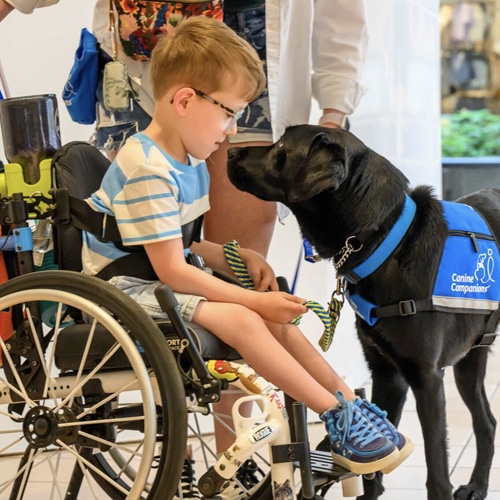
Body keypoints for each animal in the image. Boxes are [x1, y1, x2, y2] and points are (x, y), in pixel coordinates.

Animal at [228, 123, 500, 498]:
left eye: (281, 144)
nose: (228, 151)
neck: (387, 242)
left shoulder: (427, 378)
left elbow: (436, 469)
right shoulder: (387, 375)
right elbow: (375, 470)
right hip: (471, 358)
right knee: (487, 421)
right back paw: (476, 485)